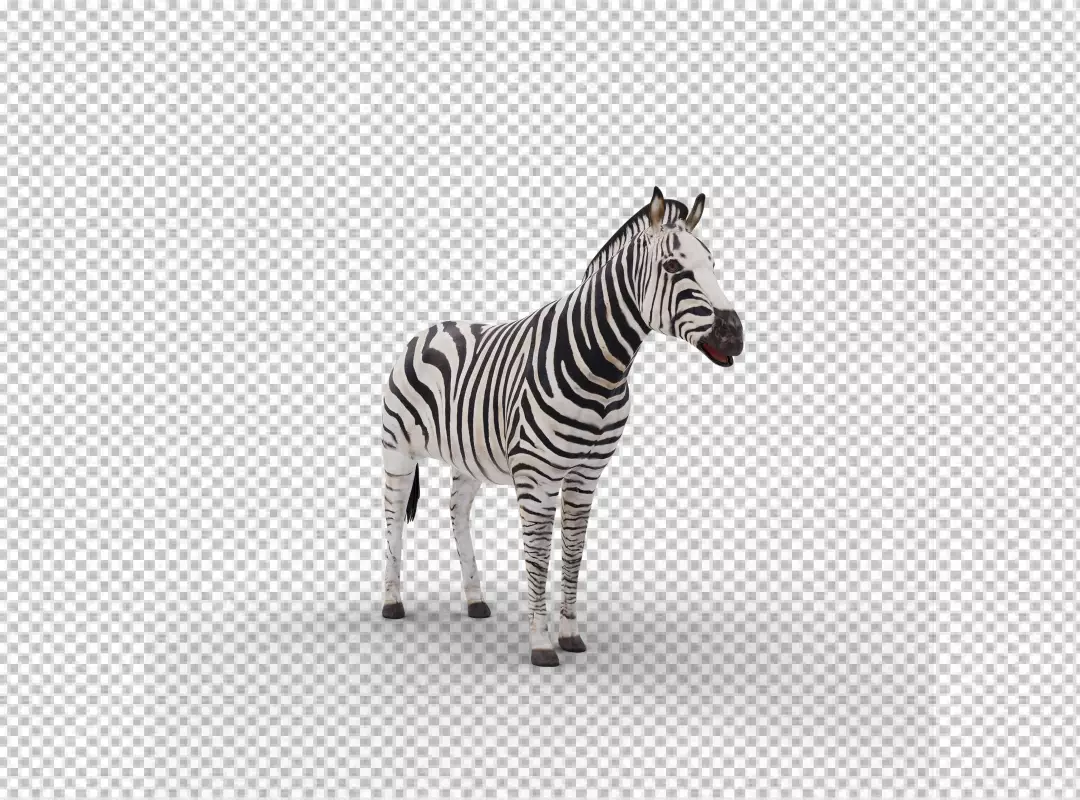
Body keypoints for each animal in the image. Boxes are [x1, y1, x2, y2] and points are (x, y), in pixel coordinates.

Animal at [380, 187, 743, 667]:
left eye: (713, 265)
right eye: (673, 267)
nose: (736, 336)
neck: (602, 367)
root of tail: (429, 329)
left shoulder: (586, 475)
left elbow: (572, 553)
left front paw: (569, 634)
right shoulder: (537, 475)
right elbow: (538, 553)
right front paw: (540, 642)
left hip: (469, 458)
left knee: (457, 512)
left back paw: (475, 599)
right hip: (398, 451)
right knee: (393, 518)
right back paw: (392, 602)